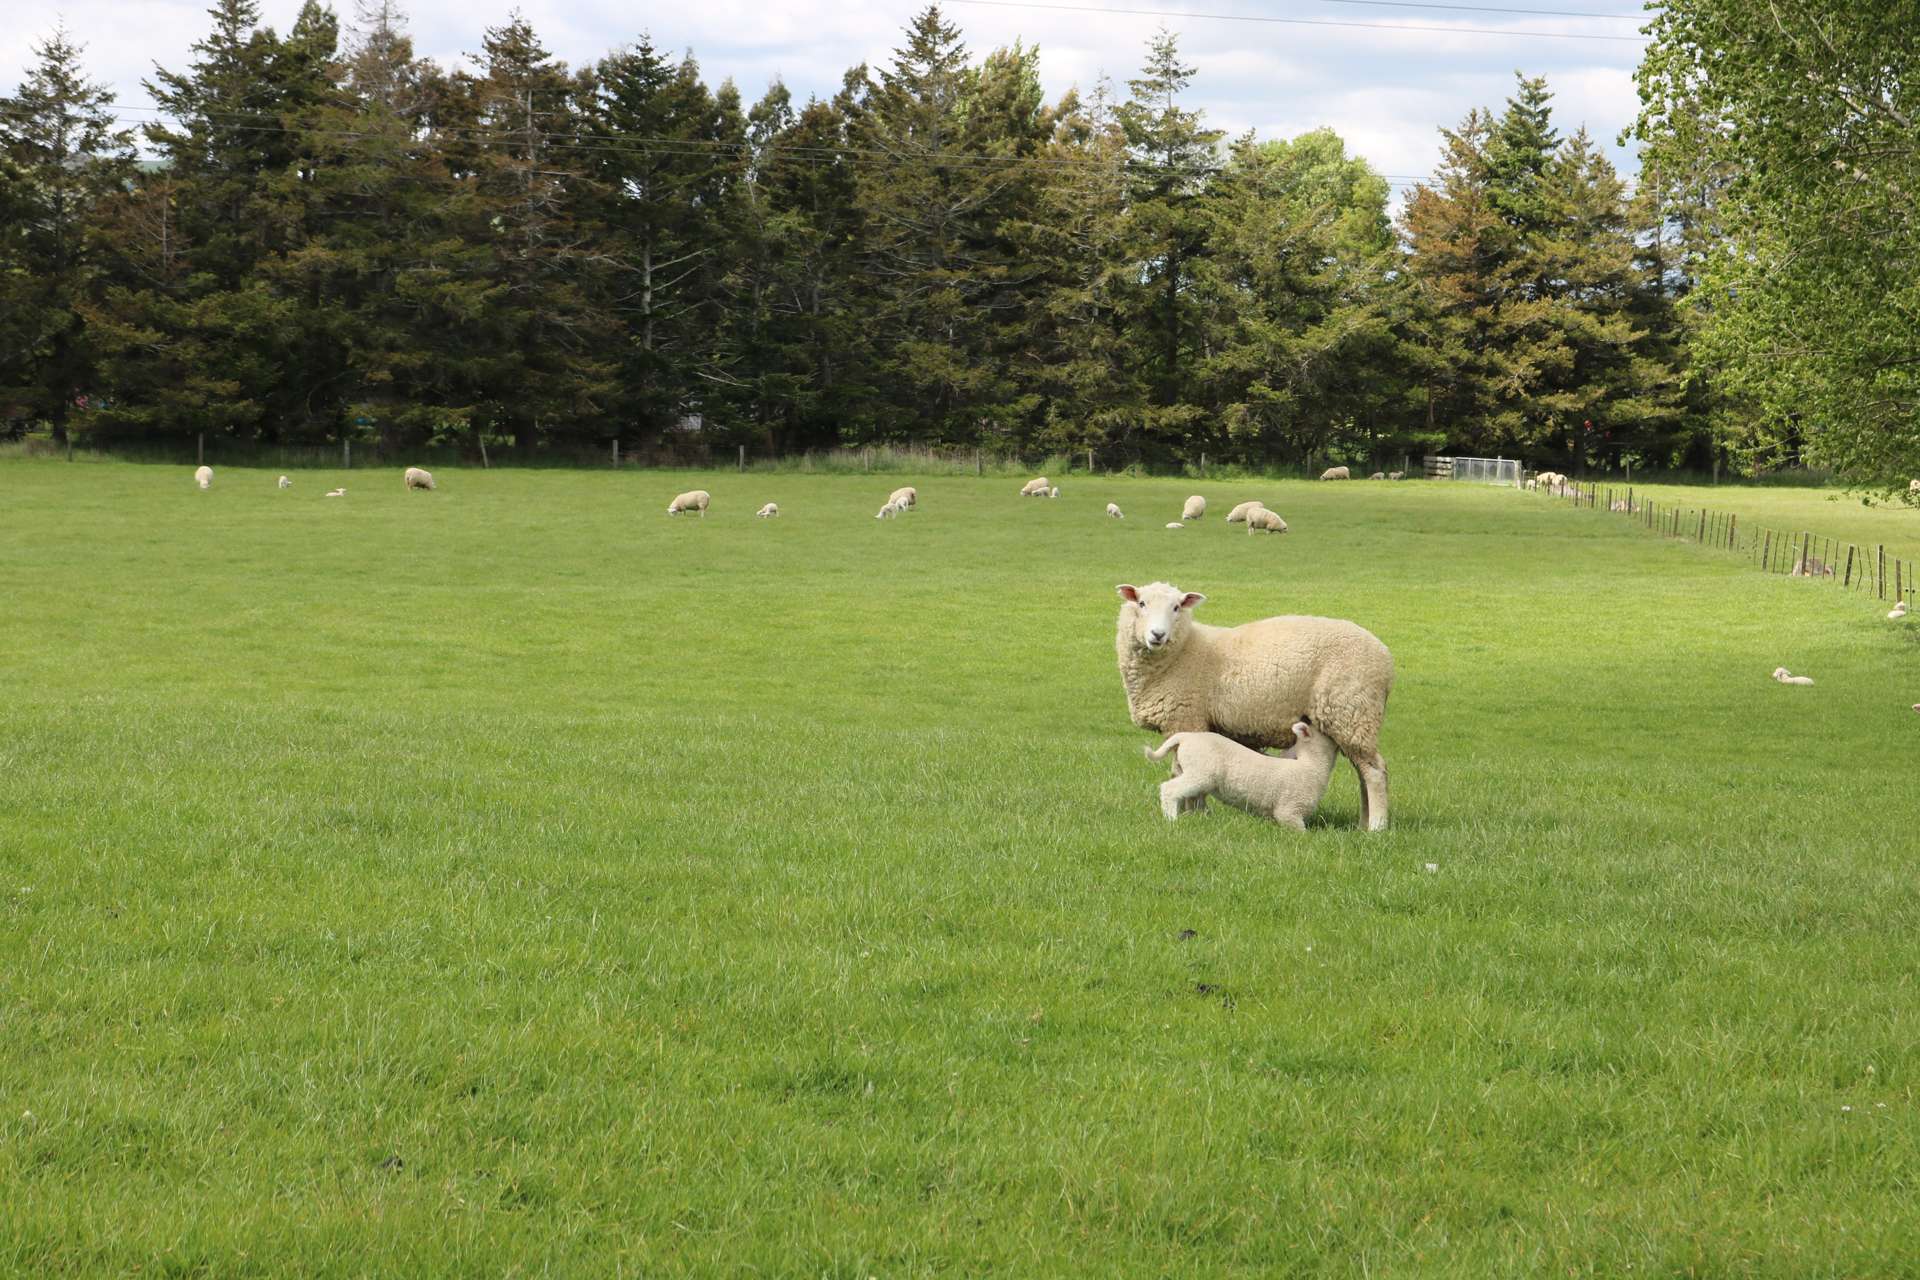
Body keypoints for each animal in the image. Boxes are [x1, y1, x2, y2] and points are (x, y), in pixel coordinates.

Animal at [1144, 721, 1344, 832]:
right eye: (1327, 733)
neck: (1311, 766)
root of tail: (1184, 737)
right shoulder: (1290, 810)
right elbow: (1301, 832)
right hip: (1200, 773)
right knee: (1169, 789)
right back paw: (1171, 819)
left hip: (1188, 770)